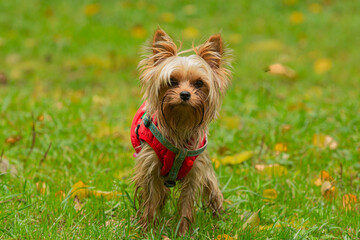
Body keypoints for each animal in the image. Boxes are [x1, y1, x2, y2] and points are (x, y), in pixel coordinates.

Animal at [131, 28, 232, 234]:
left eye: (199, 83)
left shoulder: (195, 172)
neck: (180, 123)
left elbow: (186, 204)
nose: (185, 94)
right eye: (171, 81)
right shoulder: (150, 167)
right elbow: (150, 201)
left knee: (212, 190)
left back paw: (219, 216)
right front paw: (148, 229)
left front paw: (183, 231)